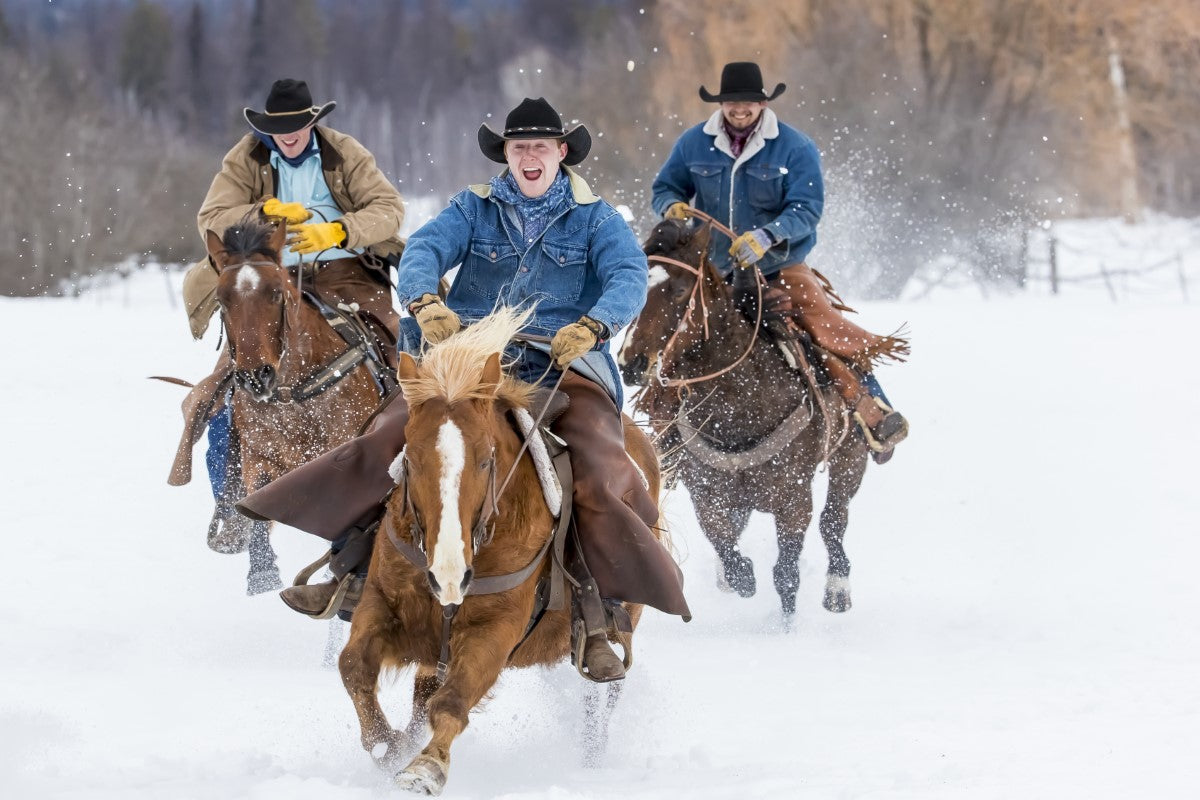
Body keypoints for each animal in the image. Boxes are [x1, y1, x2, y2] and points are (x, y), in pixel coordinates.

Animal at [205, 219, 393, 594]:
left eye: (276, 292)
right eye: (222, 299)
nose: (255, 376)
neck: (292, 393)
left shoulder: (346, 451)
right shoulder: (258, 457)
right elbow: (256, 508)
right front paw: (262, 575)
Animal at [336, 307, 657, 796]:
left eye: (487, 459)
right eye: (409, 458)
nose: (449, 576)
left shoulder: (495, 631)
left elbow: (451, 703)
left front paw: (424, 766)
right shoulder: (380, 603)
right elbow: (353, 666)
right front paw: (387, 746)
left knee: (597, 705)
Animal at [624, 219, 868, 618]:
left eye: (679, 290)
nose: (632, 363)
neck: (740, 412)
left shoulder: (794, 500)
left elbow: (786, 572)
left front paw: (785, 624)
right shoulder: (707, 494)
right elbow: (726, 546)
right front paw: (739, 577)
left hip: (852, 455)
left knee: (835, 519)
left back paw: (837, 588)